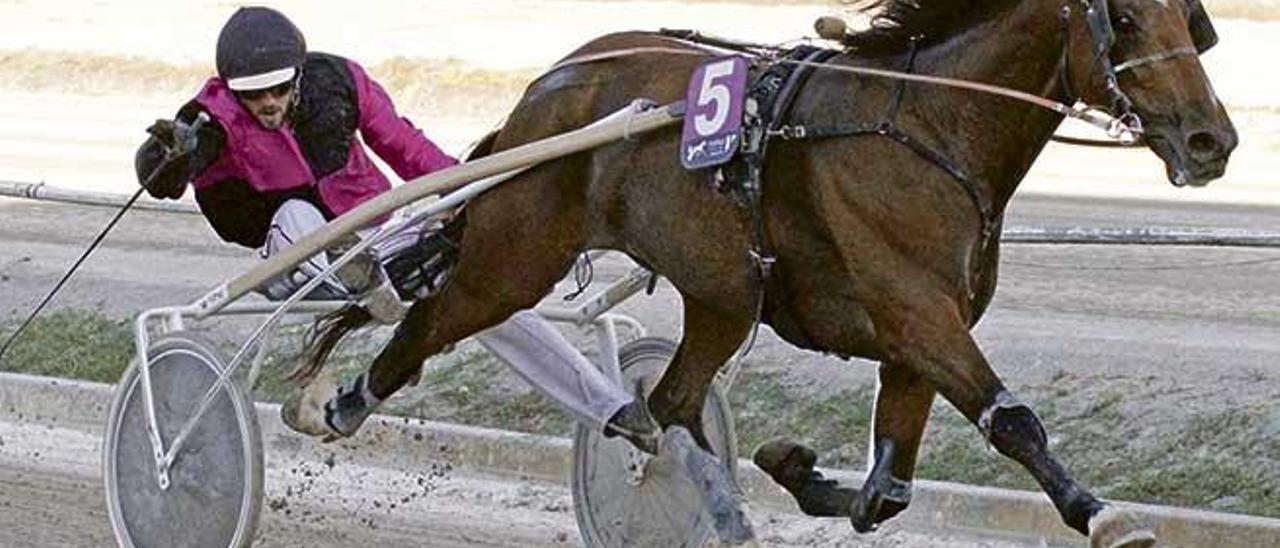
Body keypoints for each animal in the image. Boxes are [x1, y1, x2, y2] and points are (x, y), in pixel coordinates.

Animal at [307, 0, 1228, 545]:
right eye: (1127, 19)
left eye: (1189, 19)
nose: (1211, 139)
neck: (928, 124)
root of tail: (549, 86)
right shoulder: (917, 313)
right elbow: (1014, 423)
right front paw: (1100, 514)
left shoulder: (917, 339)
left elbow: (888, 491)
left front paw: (793, 464)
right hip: (518, 253)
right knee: (437, 319)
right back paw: (336, 403)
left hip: (722, 293)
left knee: (668, 406)